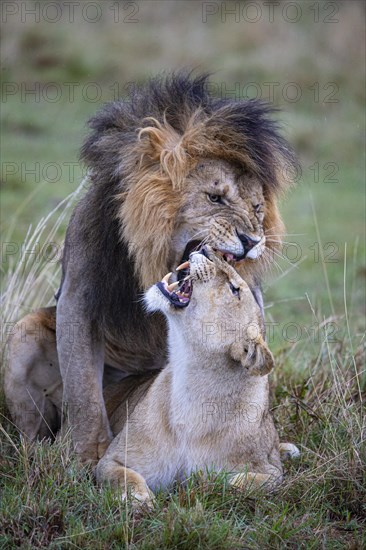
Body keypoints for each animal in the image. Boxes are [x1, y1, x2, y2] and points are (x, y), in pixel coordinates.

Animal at [5, 71, 298, 464]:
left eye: (256, 208)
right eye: (215, 197)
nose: (252, 241)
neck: (152, 261)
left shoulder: (250, 299)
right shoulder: (78, 296)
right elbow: (84, 392)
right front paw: (87, 455)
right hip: (24, 334)